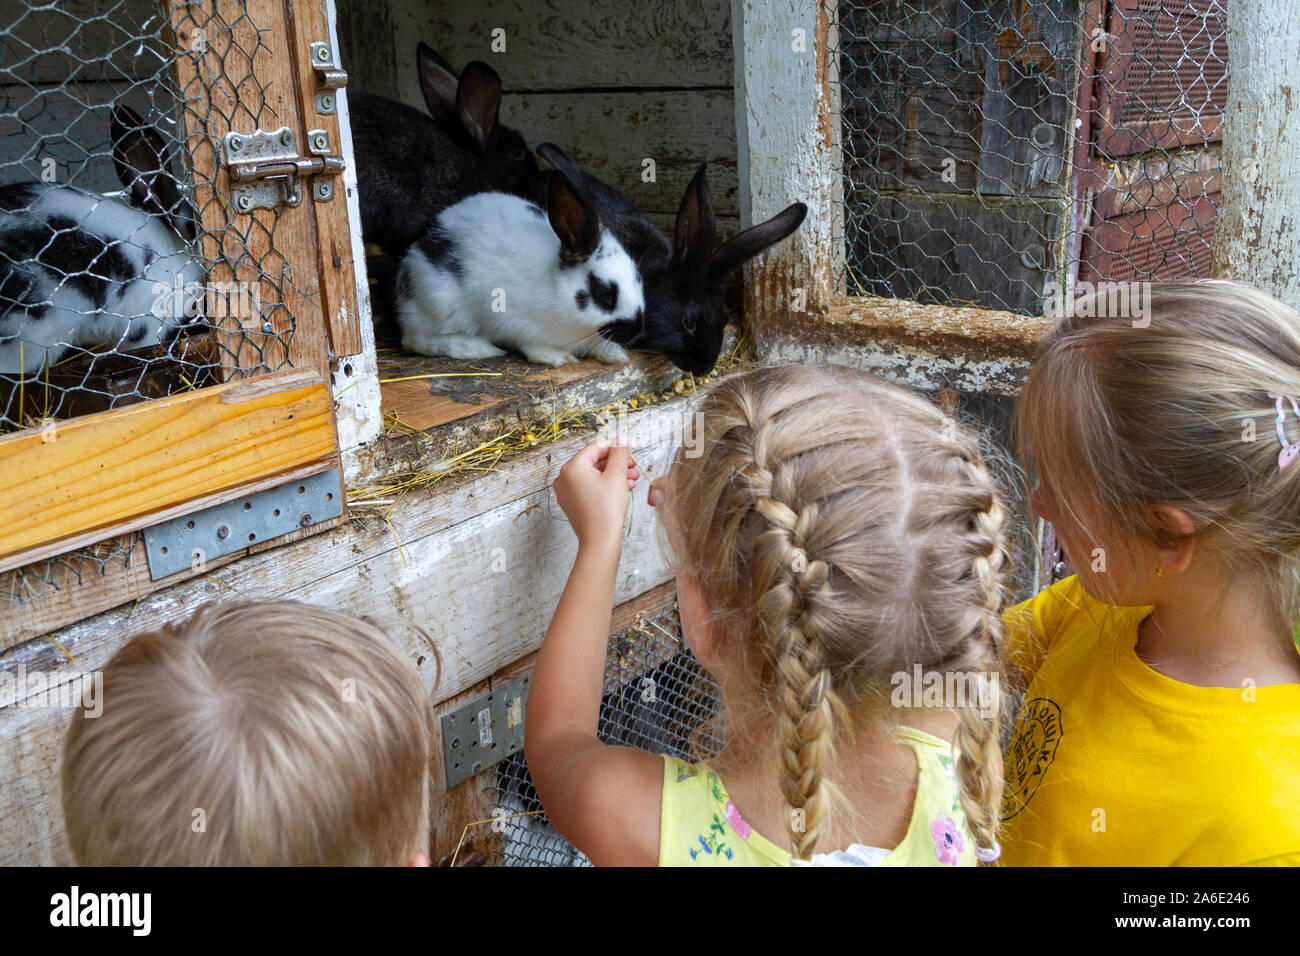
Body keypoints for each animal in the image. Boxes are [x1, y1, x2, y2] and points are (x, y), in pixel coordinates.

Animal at [392, 157, 642, 366]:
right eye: (604, 293)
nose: (637, 330)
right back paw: (475, 348)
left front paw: (615, 355)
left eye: (638, 277)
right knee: (415, 339)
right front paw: (557, 357)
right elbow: (532, 344)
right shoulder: (514, 320)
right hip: (439, 300)